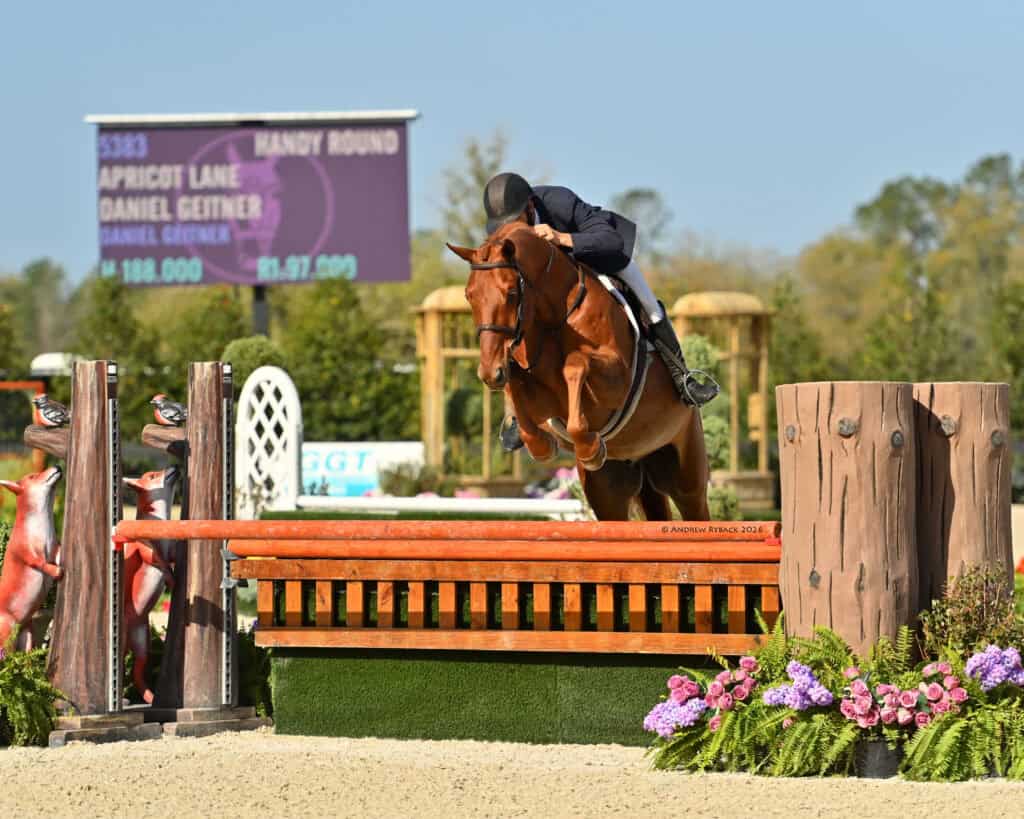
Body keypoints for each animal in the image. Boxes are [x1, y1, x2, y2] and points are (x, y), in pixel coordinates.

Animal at [448, 223, 710, 521]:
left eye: (511, 293)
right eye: (469, 296)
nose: (489, 374)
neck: (552, 317)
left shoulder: (617, 379)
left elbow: (574, 364)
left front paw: (588, 448)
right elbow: (517, 385)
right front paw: (541, 445)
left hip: (687, 480)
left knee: (694, 503)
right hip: (610, 494)